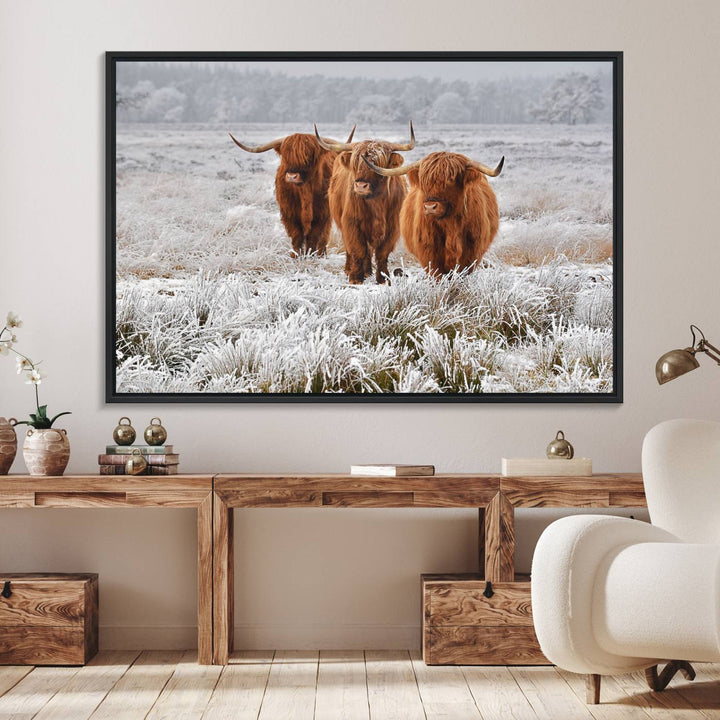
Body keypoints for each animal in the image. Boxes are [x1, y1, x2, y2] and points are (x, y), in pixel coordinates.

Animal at [229, 128, 356, 258]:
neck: (304, 191)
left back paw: (321, 254)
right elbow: (296, 235)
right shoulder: (289, 213)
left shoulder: (322, 213)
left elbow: (314, 236)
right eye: (286, 155)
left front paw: (310, 255)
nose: (292, 176)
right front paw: (295, 256)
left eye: (308, 155)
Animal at [316, 124, 416, 284]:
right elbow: (358, 250)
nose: (361, 186)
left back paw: (368, 271)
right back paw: (350, 269)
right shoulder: (351, 223)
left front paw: (383, 278)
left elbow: (382, 253)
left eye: (378, 163)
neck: (376, 203)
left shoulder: (392, 227)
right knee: (352, 248)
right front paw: (355, 278)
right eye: (355, 163)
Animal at [362, 150, 504, 274]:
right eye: (424, 181)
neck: (450, 225)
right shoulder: (429, 254)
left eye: (451, 179)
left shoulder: (471, 253)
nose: (430, 207)